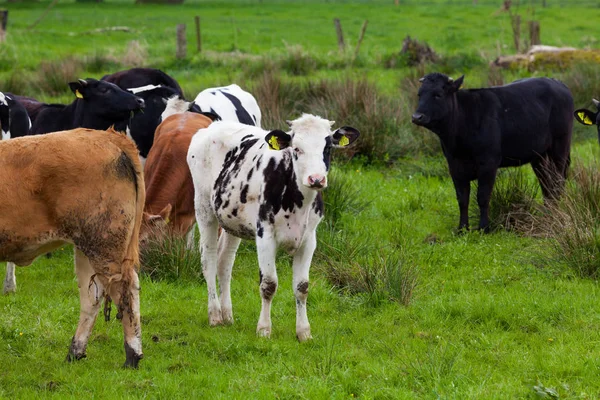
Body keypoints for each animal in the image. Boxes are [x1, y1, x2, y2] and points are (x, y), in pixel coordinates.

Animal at [0, 129, 145, 368]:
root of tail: (108, 136)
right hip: (87, 247)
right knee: (92, 297)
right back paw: (75, 352)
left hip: (105, 244)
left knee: (125, 289)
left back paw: (132, 355)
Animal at [185, 114, 358, 342]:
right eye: (296, 148)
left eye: (327, 147)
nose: (316, 179)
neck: (297, 202)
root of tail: (211, 126)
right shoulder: (265, 236)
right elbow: (269, 284)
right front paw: (264, 329)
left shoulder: (309, 239)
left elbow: (302, 287)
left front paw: (304, 332)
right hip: (204, 209)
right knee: (209, 260)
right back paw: (214, 315)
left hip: (232, 220)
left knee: (225, 262)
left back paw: (227, 315)